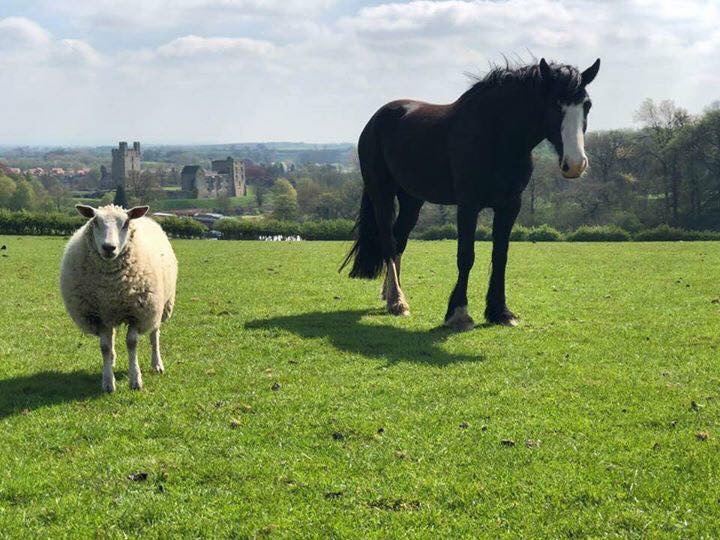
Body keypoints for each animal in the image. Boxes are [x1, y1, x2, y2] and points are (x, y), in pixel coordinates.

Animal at [62, 205, 180, 390]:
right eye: (95, 221)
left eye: (125, 223)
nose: (109, 247)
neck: (110, 286)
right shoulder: (99, 316)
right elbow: (105, 346)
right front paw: (108, 382)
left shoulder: (137, 313)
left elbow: (132, 343)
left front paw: (135, 380)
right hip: (110, 313)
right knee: (111, 339)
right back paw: (112, 360)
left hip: (158, 307)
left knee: (154, 334)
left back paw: (157, 364)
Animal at [340, 58, 600, 330]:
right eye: (555, 104)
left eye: (587, 105)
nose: (576, 164)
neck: (496, 135)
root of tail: (377, 119)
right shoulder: (468, 205)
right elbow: (466, 256)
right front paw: (459, 313)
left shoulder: (510, 206)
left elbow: (500, 255)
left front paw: (500, 312)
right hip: (381, 194)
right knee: (389, 241)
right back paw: (398, 302)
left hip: (412, 200)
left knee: (399, 240)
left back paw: (390, 295)